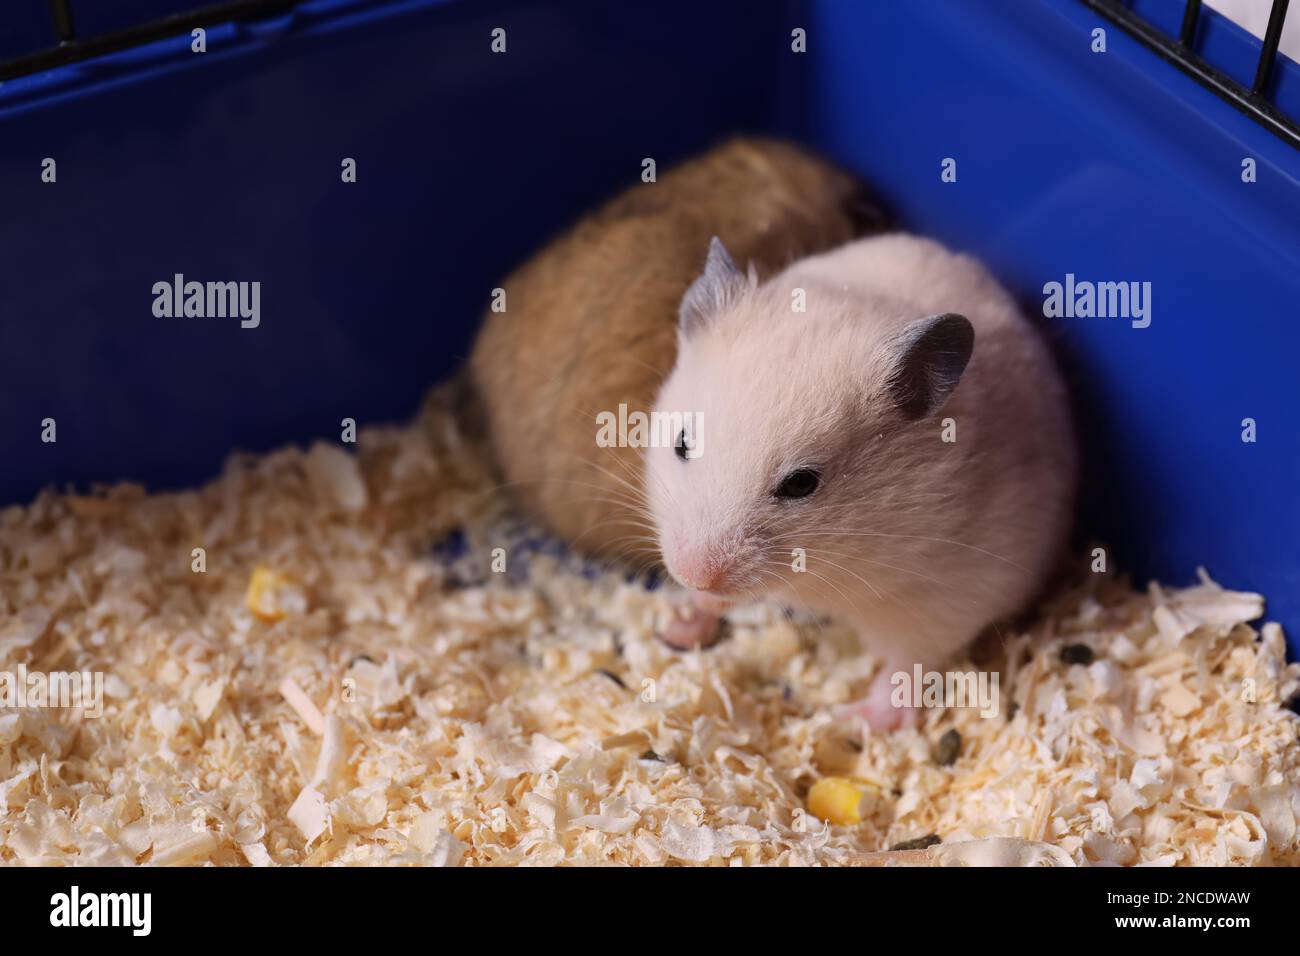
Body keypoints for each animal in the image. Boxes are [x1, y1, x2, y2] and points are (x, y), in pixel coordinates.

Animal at [646, 233, 1077, 729]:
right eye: (682, 443)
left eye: (801, 484)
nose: (692, 574)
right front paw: (682, 619)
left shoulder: (945, 595)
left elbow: (907, 662)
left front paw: (853, 719)